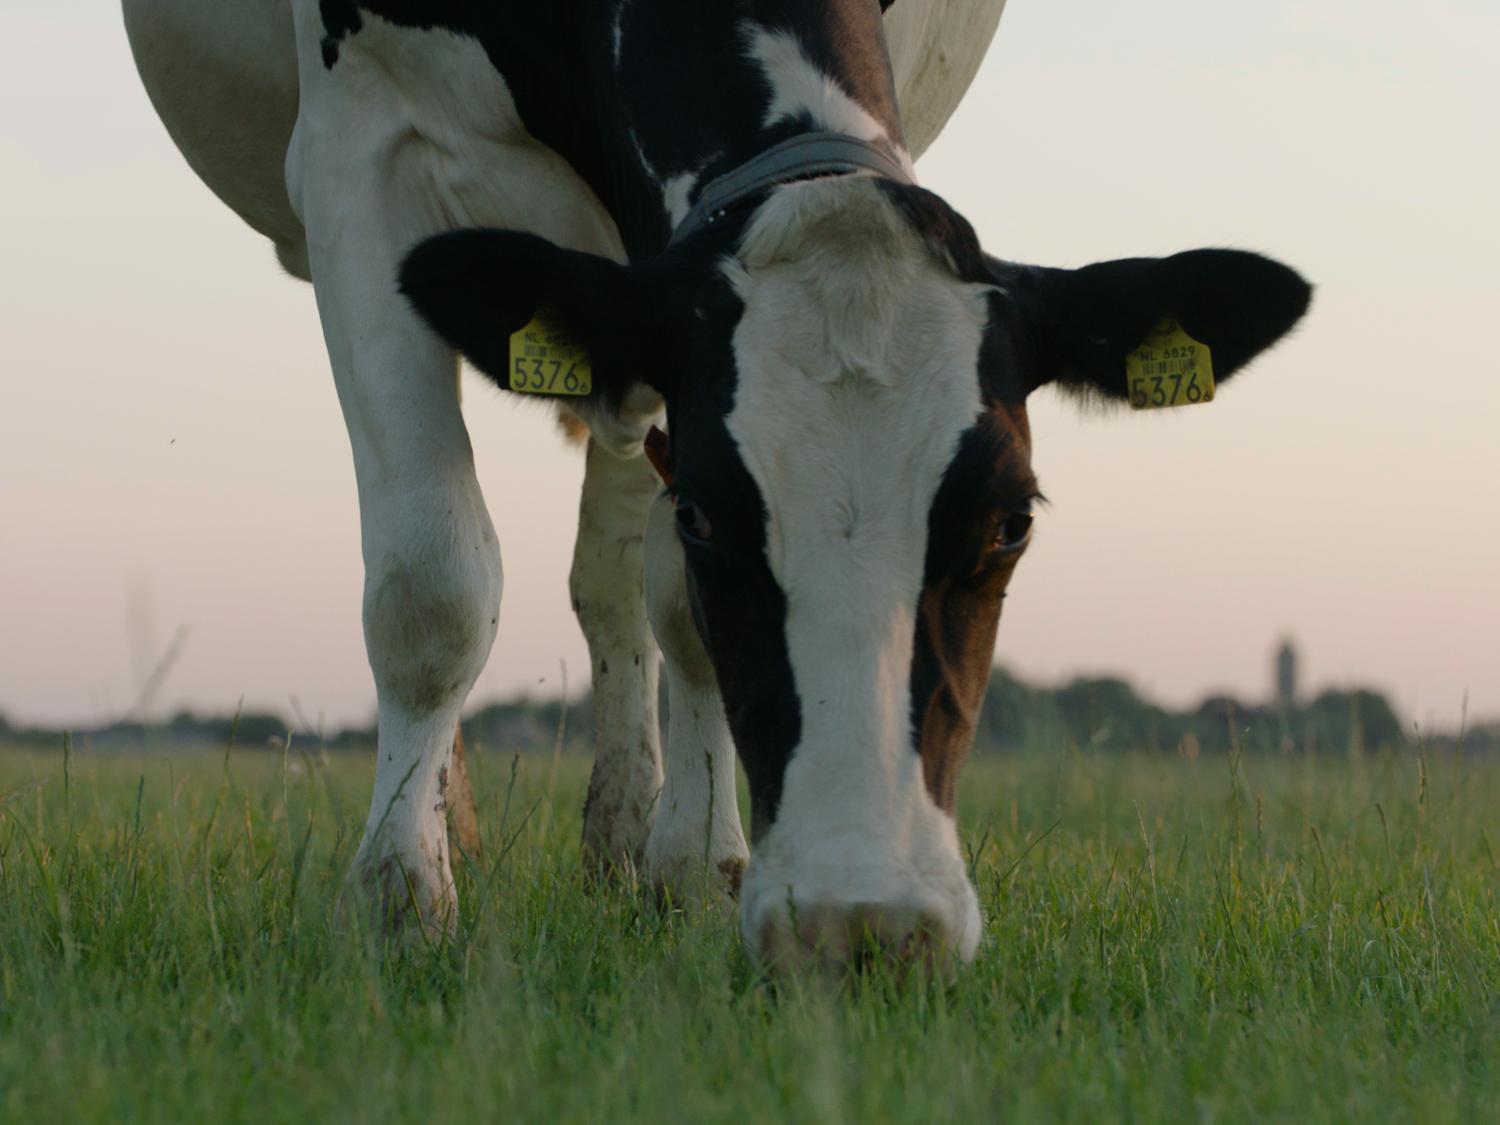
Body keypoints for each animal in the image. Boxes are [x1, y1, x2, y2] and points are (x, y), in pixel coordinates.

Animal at [123, 0, 1310, 972]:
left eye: (1010, 524)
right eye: (706, 514)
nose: (860, 927)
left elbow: (669, 611)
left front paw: (694, 865)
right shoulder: (358, 146)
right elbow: (432, 585)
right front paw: (399, 899)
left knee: (607, 584)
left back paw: (627, 830)